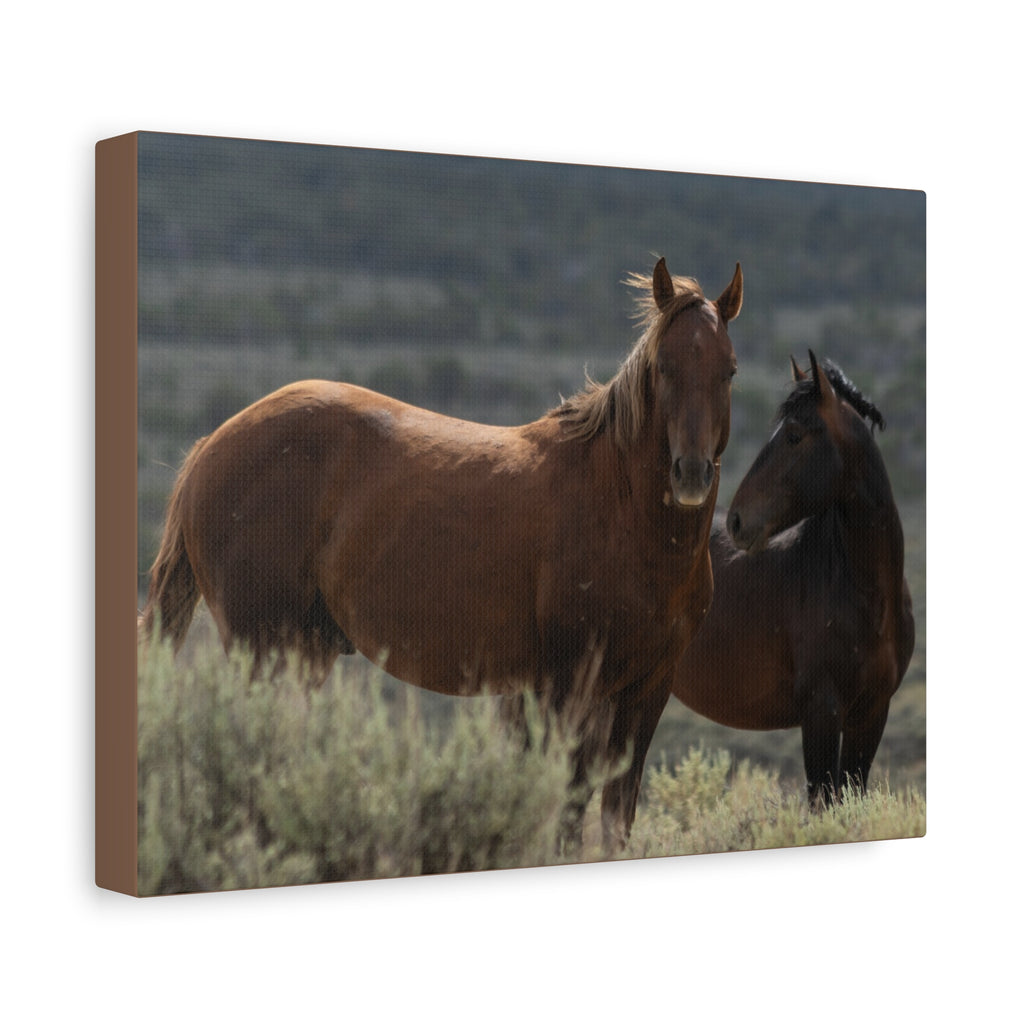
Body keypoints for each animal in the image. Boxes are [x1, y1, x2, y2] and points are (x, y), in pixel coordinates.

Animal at [140, 257, 743, 849]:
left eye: (729, 370)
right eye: (663, 367)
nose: (690, 474)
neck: (623, 511)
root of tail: (211, 446)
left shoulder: (647, 690)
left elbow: (616, 818)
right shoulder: (572, 684)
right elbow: (568, 814)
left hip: (304, 652)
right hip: (262, 649)